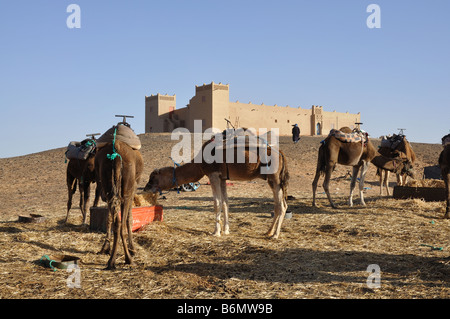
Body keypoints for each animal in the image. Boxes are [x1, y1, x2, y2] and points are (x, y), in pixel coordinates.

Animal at [94, 140, 143, 270]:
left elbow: (109, 219)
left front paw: (105, 247)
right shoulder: (132, 191)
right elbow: (129, 219)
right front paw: (133, 249)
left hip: (107, 185)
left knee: (116, 223)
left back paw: (111, 261)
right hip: (126, 190)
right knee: (122, 224)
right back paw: (128, 259)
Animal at [146, 136, 290, 240]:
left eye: (152, 177)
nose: (146, 188)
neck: (199, 163)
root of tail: (281, 153)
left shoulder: (213, 175)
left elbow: (217, 203)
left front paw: (216, 232)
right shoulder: (222, 178)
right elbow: (225, 202)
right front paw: (226, 230)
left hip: (275, 178)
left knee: (281, 206)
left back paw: (275, 235)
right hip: (272, 180)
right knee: (279, 205)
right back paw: (268, 232)